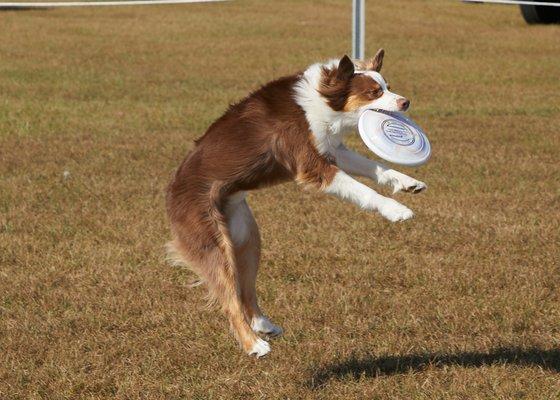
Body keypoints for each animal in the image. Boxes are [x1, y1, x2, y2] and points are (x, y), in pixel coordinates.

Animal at [164, 48, 426, 358]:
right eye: (374, 92)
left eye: (387, 86)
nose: (406, 101)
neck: (321, 101)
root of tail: (171, 189)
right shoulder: (312, 166)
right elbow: (363, 190)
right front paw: (395, 209)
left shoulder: (332, 150)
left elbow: (376, 167)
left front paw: (407, 182)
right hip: (212, 241)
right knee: (229, 299)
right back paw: (254, 344)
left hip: (247, 236)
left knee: (245, 289)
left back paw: (263, 324)